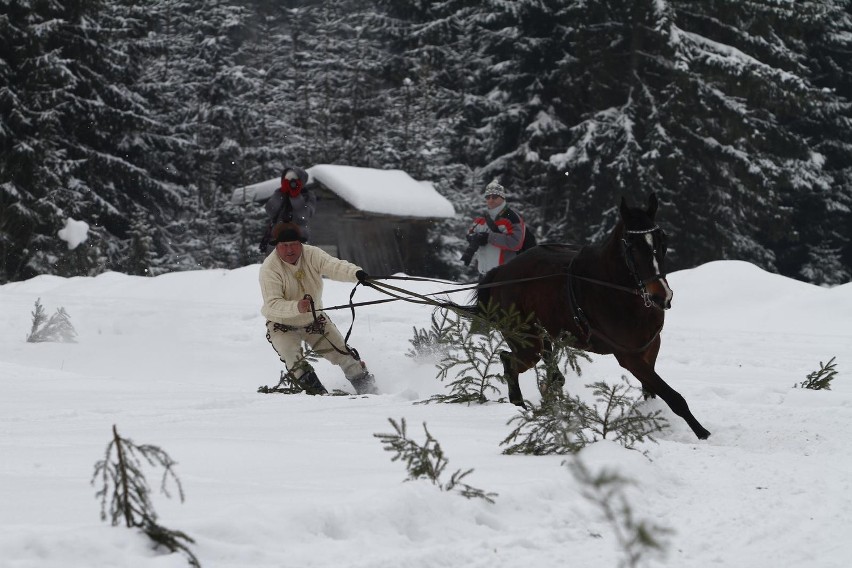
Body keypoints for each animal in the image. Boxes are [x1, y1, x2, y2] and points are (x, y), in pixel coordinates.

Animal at [476, 194, 708, 440]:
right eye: (633, 247)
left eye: (662, 243)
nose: (661, 296)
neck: (616, 290)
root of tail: (501, 272)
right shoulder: (628, 356)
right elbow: (672, 396)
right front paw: (702, 433)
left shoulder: (651, 346)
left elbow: (652, 390)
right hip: (527, 340)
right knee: (508, 360)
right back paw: (520, 406)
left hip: (543, 336)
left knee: (547, 373)